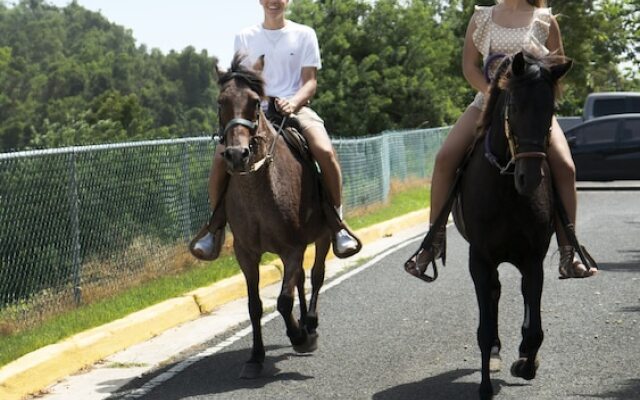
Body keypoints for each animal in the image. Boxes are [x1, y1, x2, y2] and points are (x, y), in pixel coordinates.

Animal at [216, 54, 332, 380]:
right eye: (220, 102)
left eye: (255, 102)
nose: (237, 154)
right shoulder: (246, 252)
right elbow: (255, 305)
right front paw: (256, 357)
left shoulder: (293, 247)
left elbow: (282, 300)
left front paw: (299, 337)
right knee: (302, 279)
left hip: (323, 236)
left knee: (316, 275)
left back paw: (310, 326)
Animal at [452, 51, 572, 398]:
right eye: (514, 107)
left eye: (550, 110)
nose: (529, 179)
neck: (505, 189)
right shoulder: (479, 259)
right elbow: (483, 327)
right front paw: (485, 386)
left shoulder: (533, 259)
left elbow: (535, 328)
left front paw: (526, 364)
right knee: (493, 295)